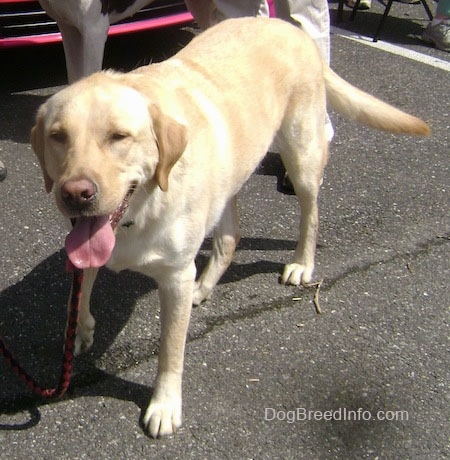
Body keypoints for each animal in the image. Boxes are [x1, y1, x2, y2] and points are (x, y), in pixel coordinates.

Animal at [30, 18, 428, 438]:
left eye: (119, 137)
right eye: (58, 137)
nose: (76, 193)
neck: (137, 214)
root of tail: (286, 25)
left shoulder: (175, 276)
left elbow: (171, 350)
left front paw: (165, 405)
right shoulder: (86, 247)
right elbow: (79, 293)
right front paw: (80, 331)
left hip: (302, 156)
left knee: (311, 212)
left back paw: (302, 263)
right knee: (228, 238)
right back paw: (204, 286)